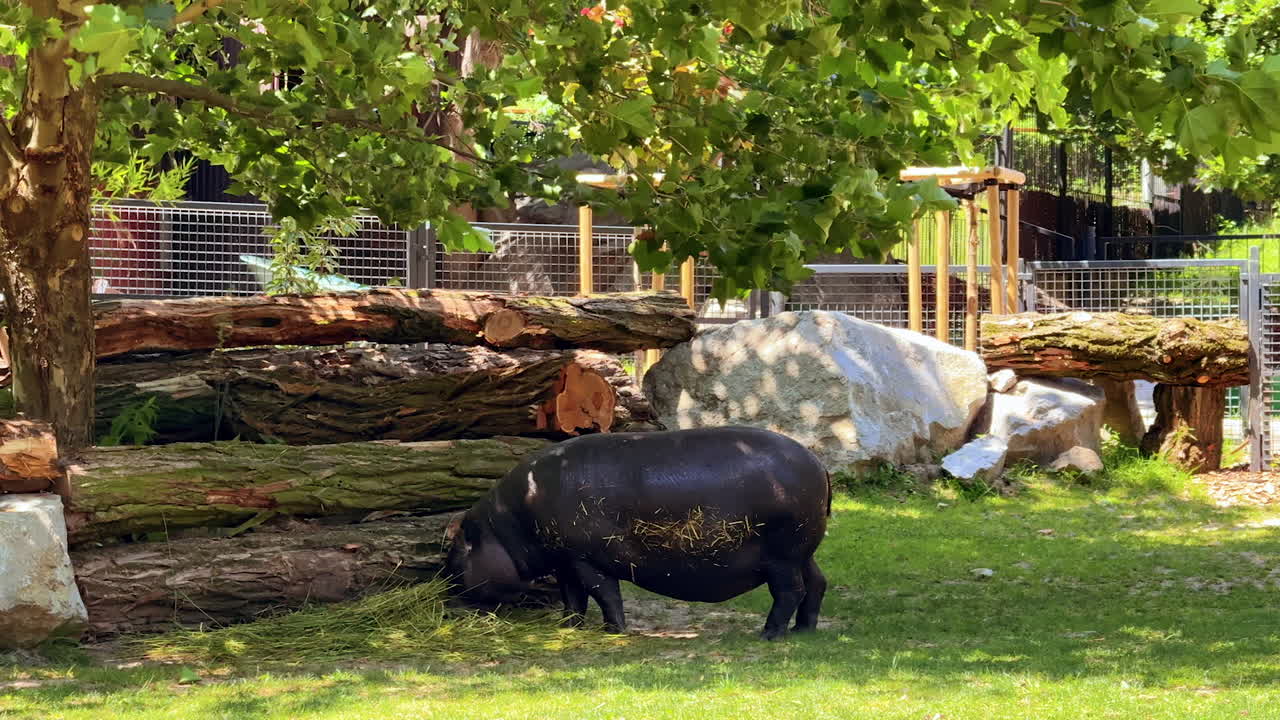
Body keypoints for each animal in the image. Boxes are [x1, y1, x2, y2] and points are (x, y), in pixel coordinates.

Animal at [444, 426, 831, 640]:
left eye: (456, 549)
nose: (445, 592)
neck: (503, 527)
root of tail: (817, 462)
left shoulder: (585, 559)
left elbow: (604, 594)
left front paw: (613, 631)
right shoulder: (565, 561)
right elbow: (573, 597)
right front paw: (568, 628)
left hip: (782, 557)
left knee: (790, 591)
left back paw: (769, 635)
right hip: (803, 551)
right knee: (817, 583)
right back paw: (804, 630)